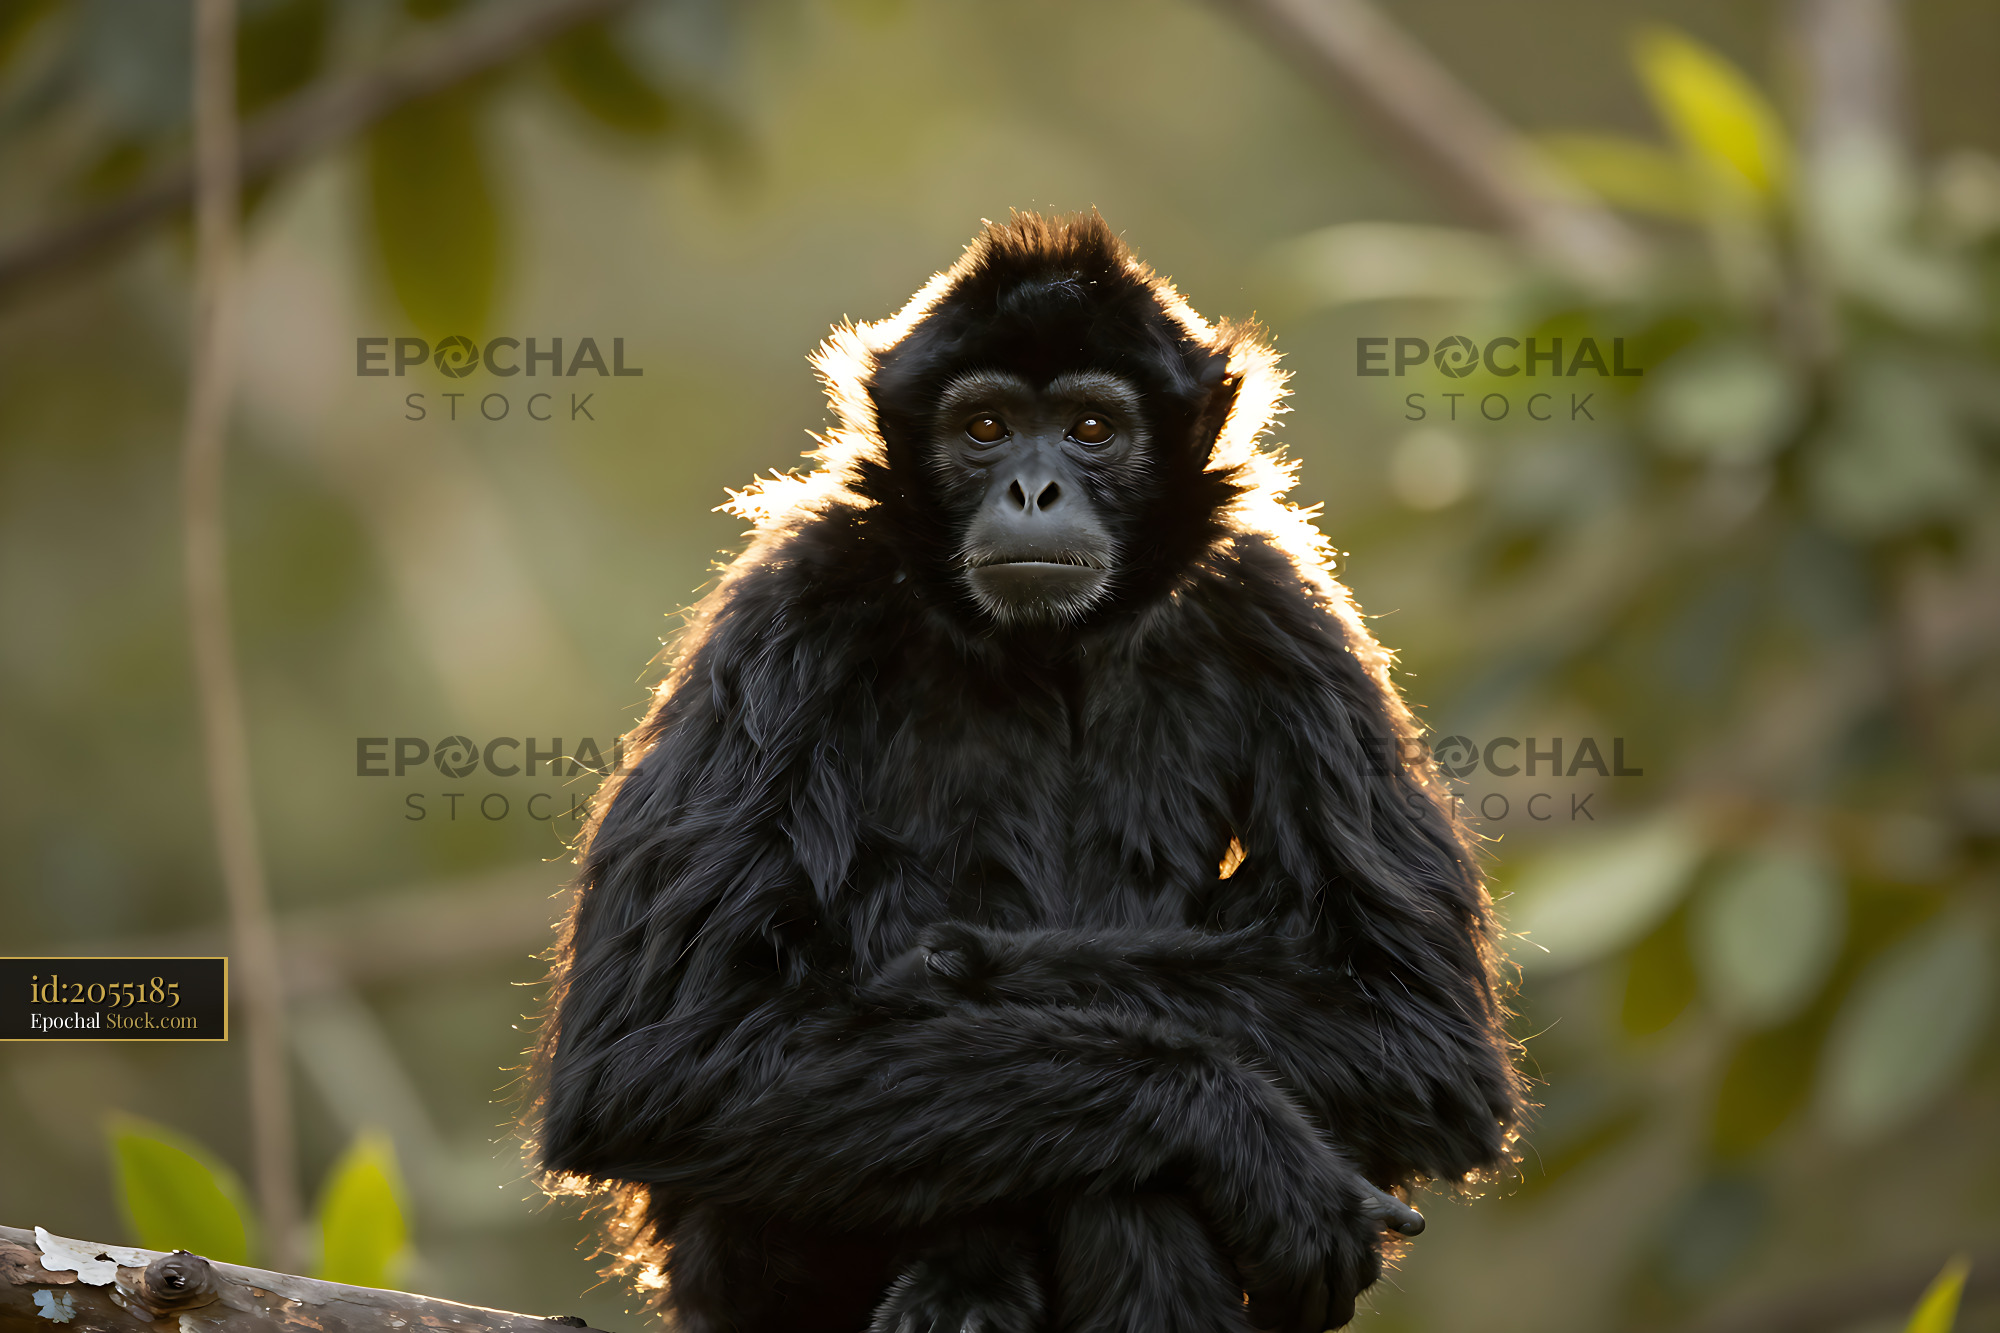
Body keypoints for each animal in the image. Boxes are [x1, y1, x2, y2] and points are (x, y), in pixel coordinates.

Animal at [531, 211, 1521, 1333]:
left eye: (1090, 428)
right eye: (987, 428)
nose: (1033, 488)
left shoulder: (1275, 603)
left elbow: (1420, 1030)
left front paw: (978, 966)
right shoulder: (795, 595)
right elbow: (657, 1058)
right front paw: (1234, 1125)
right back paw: (971, 1271)